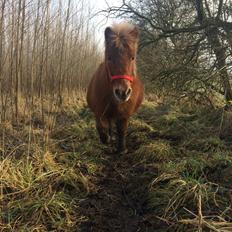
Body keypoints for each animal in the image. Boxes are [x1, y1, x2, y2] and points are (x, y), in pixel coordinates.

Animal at [86, 22, 143, 153]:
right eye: (109, 58)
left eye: (132, 57)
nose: (122, 92)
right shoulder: (99, 111)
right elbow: (101, 126)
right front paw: (106, 139)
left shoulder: (124, 114)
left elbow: (122, 129)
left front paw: (122, 149)